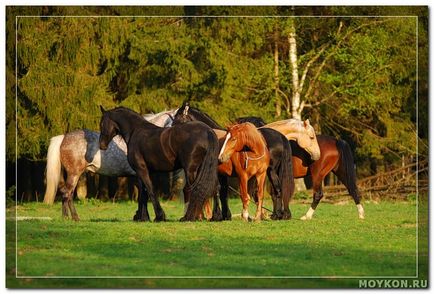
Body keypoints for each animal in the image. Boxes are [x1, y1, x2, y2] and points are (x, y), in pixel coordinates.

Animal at [42, 108, 178, 218]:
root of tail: (64, 137)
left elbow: (143, 195)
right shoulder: (140, 173)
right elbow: (144, 195)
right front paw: (143, 217)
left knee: (69, 194)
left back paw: (74, 218)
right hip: (74, 173)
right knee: (67, 193)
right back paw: (67, 218)